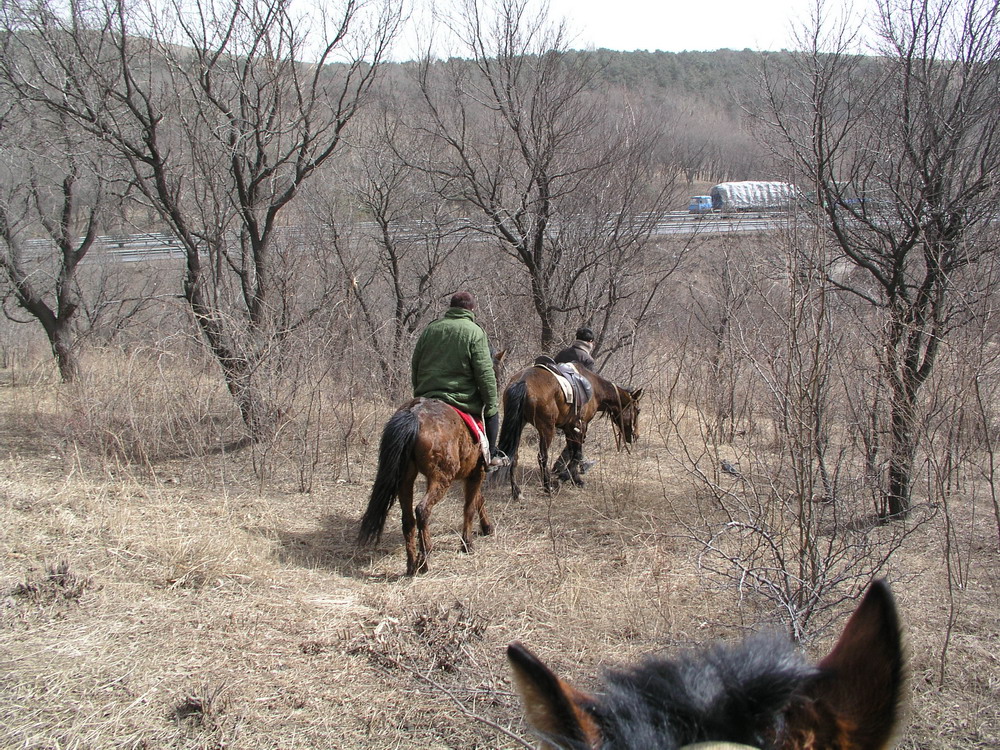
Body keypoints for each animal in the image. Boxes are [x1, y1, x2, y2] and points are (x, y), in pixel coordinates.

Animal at [356, 352, 504, 576]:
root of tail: (414, 414)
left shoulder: (470, 474)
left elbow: (478, 499)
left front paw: (486, 527)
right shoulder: (477, 473)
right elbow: (470, 505)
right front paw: (468, 543)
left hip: (406, 479)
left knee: (408, 519)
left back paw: (411, 564)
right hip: (442, 479)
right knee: (422, 511)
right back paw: (424, 561)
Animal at [498, 364, 644, 500]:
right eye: (638, 410)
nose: (636, 435)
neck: (595, 390)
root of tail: (522, 381)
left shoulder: (569, 429)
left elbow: (572, 452)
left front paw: (576, 479)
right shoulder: (580, 427)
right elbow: (577, 454)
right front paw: (564, 477)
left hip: (519, 425)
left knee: (514, 456)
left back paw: (517, 492)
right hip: (547, 429)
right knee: (542, 457)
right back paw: (548, 487)